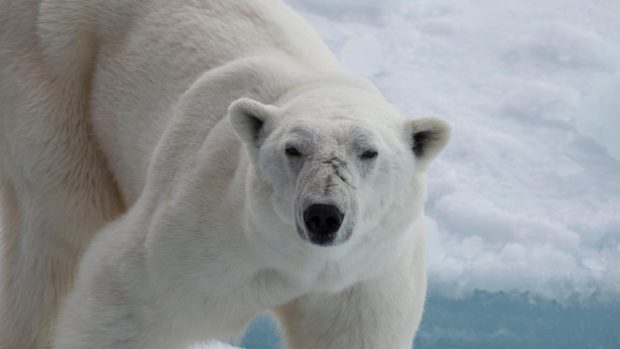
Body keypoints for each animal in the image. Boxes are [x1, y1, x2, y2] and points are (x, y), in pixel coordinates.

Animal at [0, 0, 448, 348]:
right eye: (293, 149)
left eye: (369, 152)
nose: (323, 214)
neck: (295, 263)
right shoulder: (198, 230)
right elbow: (122, 295)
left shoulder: (366, 275)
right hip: (54, 68)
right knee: (64, 225)